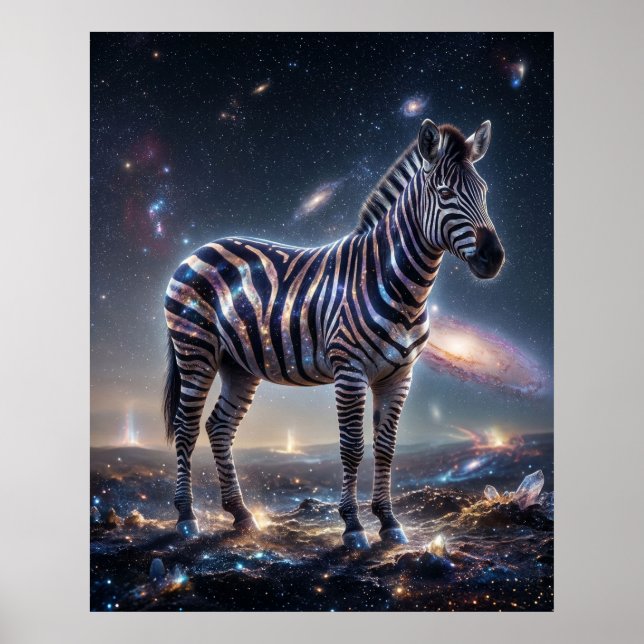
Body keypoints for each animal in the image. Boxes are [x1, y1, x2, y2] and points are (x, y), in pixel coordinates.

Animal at [163, 119, 505, 549]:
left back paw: (241, 515)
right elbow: (352, 447)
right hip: (195, 350)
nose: (494, 258)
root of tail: (199, 249)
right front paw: (354, 526)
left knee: (218, 427)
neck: (398, 283)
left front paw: (389, 522)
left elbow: (387, 448)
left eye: (485, 192)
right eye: (445, 194)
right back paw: (185, 517)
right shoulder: (350, 371)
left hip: (238, 365)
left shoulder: (399, 376)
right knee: (186, 427)